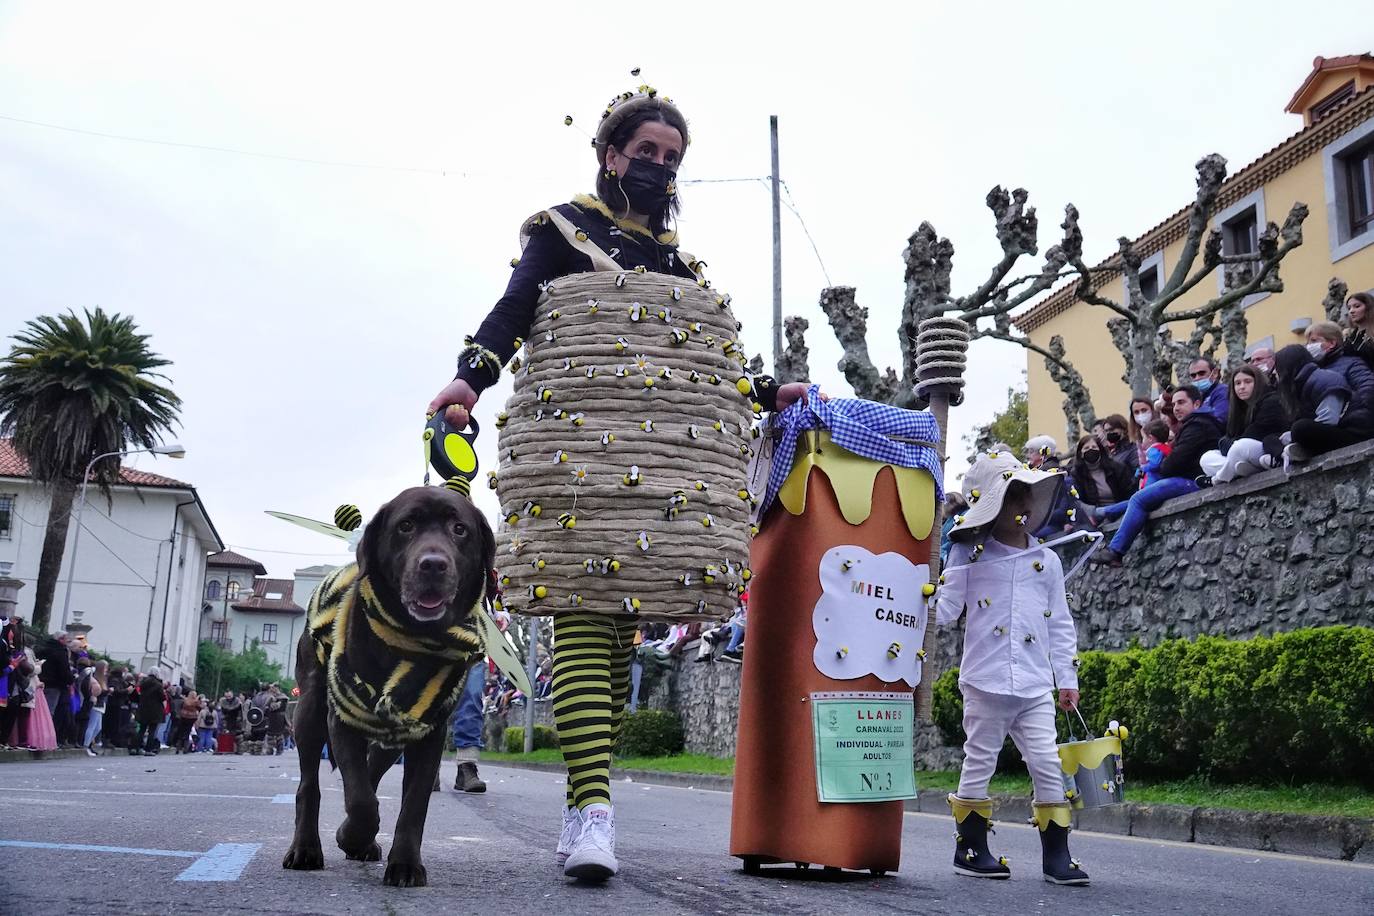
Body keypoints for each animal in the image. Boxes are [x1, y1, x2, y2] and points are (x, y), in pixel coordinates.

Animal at [278, 486, 494, 889]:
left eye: (460, 529)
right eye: (406, 526)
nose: (433, 565)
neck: (410, 641)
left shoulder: (428, 732)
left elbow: (412, 804)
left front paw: (405, 864)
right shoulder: (341, 718)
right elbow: (361, 801)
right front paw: (351, 836)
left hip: (392, 735)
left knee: (372, 769)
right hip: (310, 710)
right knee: (310, 785)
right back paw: (306, 849)